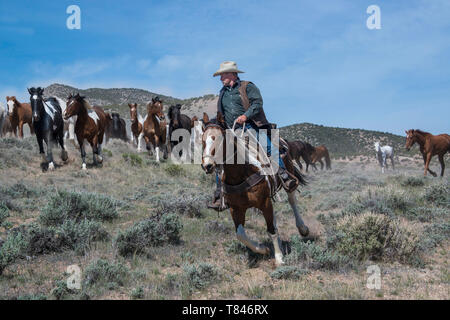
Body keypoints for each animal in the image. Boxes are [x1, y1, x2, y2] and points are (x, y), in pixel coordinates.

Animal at [201, 111, 310, 266]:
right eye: (203, 141)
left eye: (219, 139)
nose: (208, 165)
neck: (240, 174)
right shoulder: (236, 209)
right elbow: (241, 234)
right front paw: (263, 249)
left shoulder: (264, 203)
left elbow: (271, 230)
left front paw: (279, 258)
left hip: (289, 178)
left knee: (292, 201)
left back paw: (303, 228)